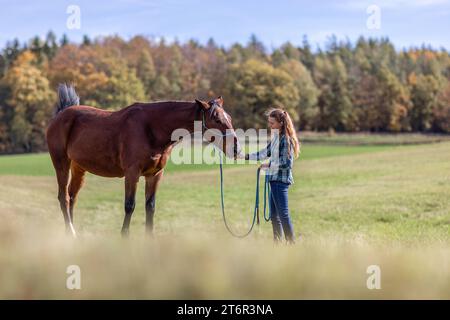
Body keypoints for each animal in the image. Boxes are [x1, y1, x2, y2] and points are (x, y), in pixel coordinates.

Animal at [47, 84, 241, 236]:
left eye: (230, 118)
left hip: (79, 168)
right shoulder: (132, 173)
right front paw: (124, 237)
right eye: (216, 119)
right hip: (61, 164)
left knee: (72, 197)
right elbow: (129, 205)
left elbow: (150, 206)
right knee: (63, 198)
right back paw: (71, 234)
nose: (236, 149)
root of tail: (61, 114)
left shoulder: (154, 174)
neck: (151, 128)